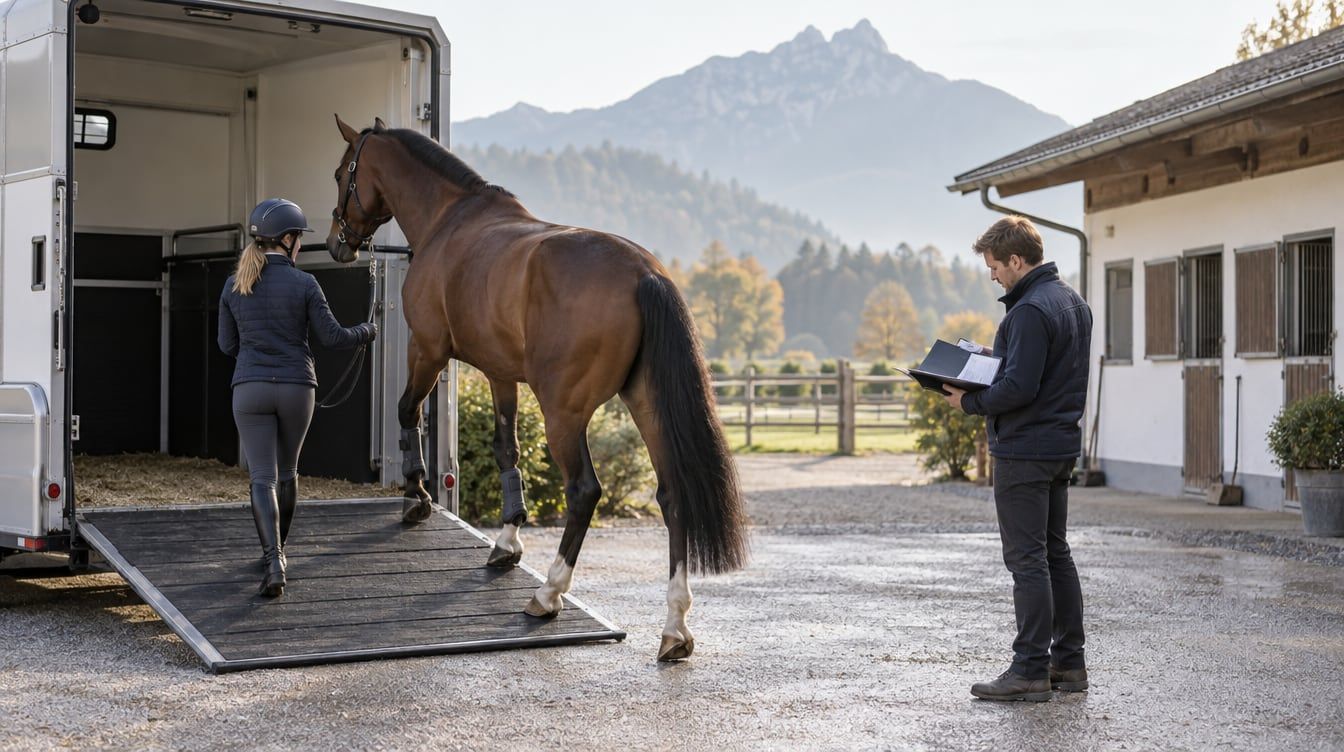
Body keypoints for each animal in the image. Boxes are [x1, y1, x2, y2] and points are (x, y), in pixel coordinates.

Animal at [324, 116, 749, 661]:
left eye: (343, 173)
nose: (337, 242)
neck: (450, 220)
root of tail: (643, 274)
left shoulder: (428, 349)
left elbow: (406, 411)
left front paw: (416, 496)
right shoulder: (501, 373)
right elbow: (507, 450)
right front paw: (506, 543)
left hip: (563, 414)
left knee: (584, 491)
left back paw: (548, 594)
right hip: (646, 406)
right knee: (672, 494)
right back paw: (675, 627)